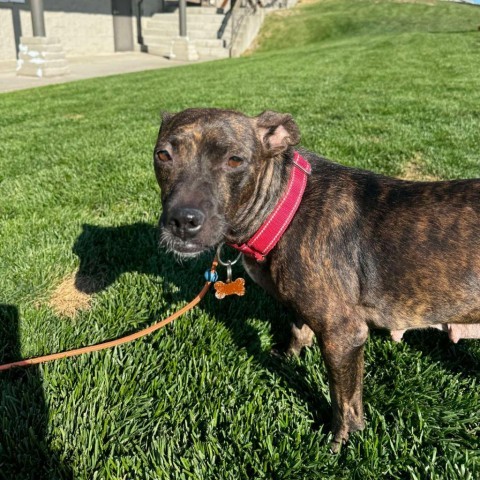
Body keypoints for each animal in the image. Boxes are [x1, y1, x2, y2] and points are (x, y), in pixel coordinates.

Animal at [154, 108, 480, 450]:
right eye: (163, 155)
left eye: (234, 160)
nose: (183, 220)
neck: (283, 209)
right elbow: (298, 330)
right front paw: (286, 357)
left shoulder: (343, 335)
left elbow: (345, 401)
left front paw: (341, 441)